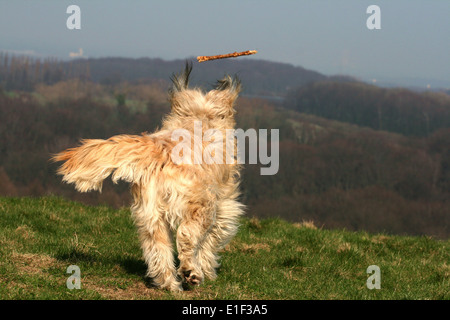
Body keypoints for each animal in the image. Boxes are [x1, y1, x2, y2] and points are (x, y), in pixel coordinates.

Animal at [53, 63, 246, 292]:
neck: (199, 118)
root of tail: (161, 149)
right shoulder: (224, 206)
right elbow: (210, 240)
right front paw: (207, 269)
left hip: (151, 216)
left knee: (158, 250)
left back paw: (170, 284)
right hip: (200, 206)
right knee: (186, 236)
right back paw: (190, 272)